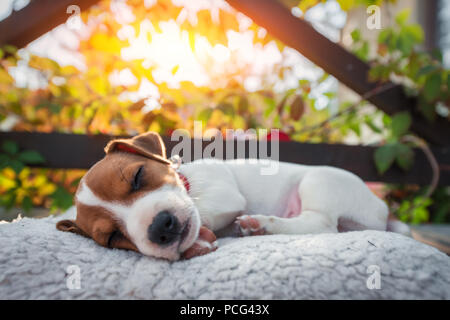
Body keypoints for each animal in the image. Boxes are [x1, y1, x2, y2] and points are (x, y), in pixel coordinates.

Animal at [56, 132, 408, 260]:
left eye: (138, 176)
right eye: (113, 238)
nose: (160, 228)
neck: (188, 180)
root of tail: (382, 209)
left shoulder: (222, 193)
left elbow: (205, 211)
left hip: (319, 181)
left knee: (322, 225)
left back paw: (262, 224)